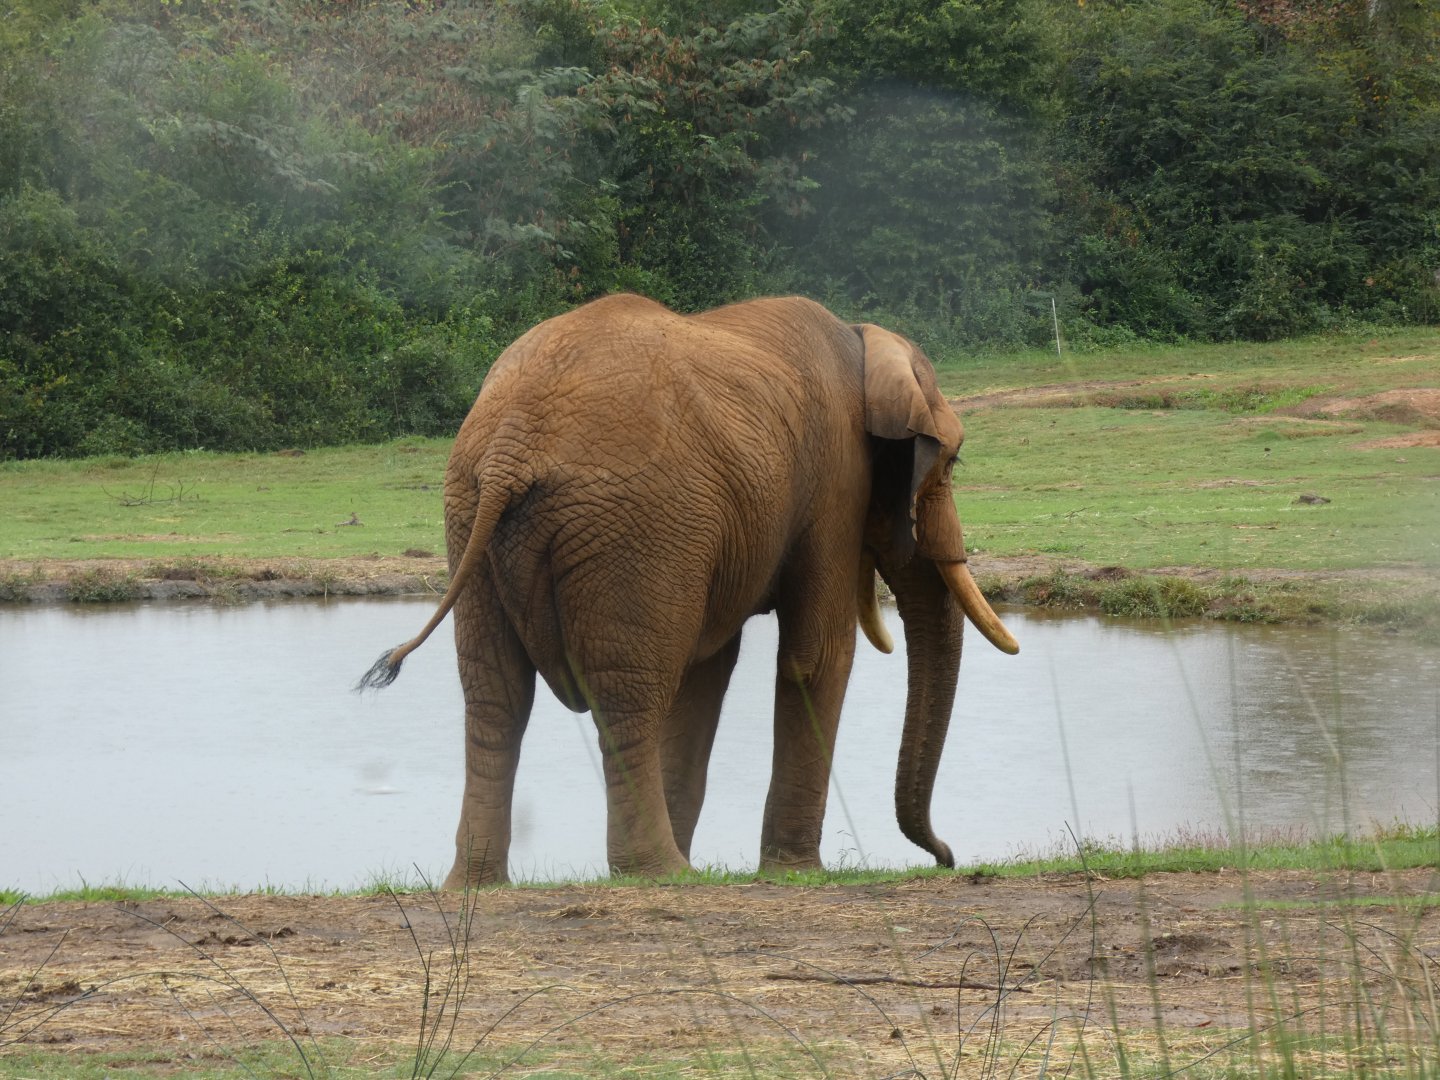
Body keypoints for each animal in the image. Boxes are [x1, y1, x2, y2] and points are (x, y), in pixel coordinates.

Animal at [359, 293, 1018, 886]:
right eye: (951, 464)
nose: (946, 857)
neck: (865, 346)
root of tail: (509, 445)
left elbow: (708, 670)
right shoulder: (835, 481)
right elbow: (817, 657)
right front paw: (797, 873)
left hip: (470, 511)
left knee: (496, 693)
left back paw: (478, 882)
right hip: (633, 523)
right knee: (627, 693)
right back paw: (663, 872)